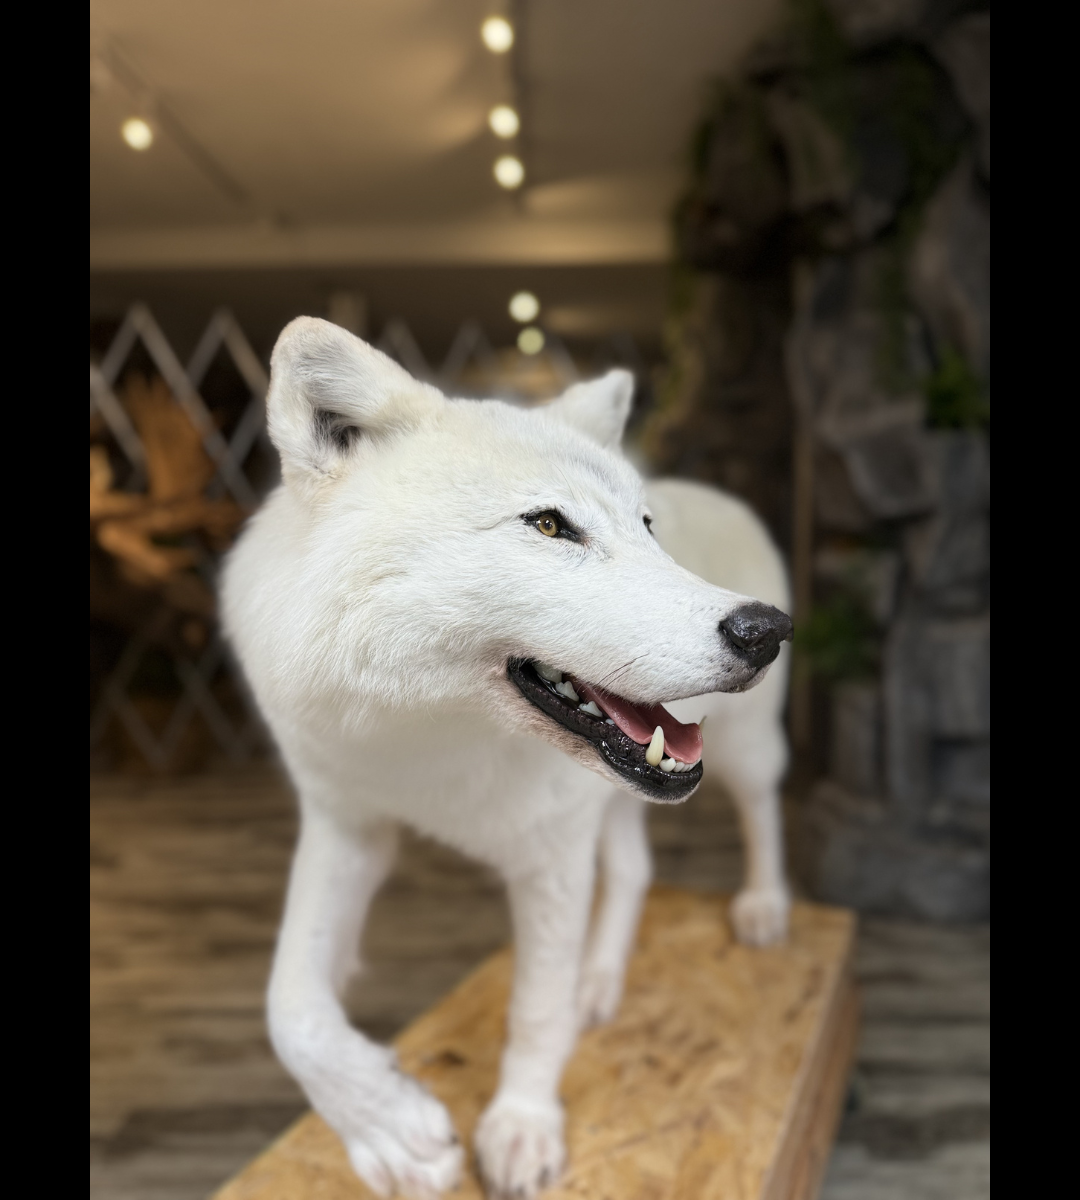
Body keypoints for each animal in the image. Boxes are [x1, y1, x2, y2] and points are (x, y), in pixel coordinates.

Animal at [222, 318, 793, 1200]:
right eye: (550, 526)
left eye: (647, 528)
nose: (765, 630)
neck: (431, 737)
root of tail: (723, 493)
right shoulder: (347, 826)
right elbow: (291, 1006)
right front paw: (390, 1132)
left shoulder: (549, 858)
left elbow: (535, 1009)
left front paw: (521, 1127)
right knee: (634, 870)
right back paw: (600, 980)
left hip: (741, 755)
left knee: (762, 810)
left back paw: (763, 908)